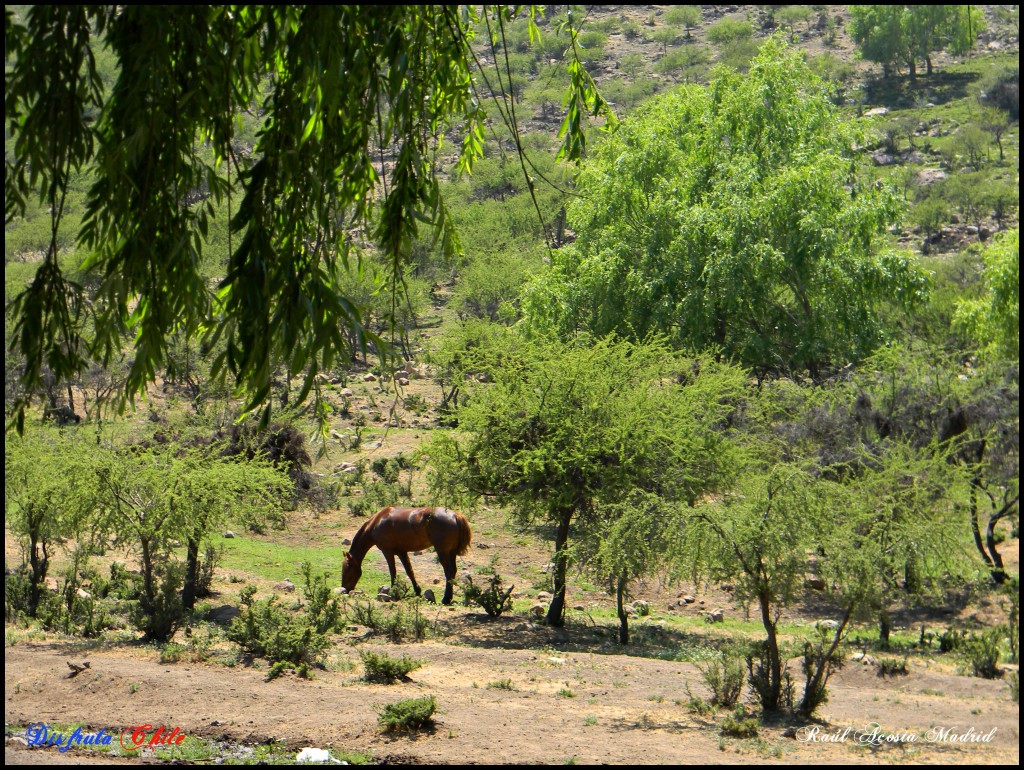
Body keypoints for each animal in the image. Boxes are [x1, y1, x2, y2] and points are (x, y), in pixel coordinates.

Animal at [342, 505, 473, 606]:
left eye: (348, 569)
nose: (344, 589)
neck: (378, 521)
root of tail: (455, 515)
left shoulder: (387, 551)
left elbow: (393, 571)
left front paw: (393, 591)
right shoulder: (402, 552)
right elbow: (409, 571)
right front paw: (417, 590)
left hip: (443, 552)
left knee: (448, 572)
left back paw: (446, 599)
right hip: (451, 553)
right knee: (453, 571)